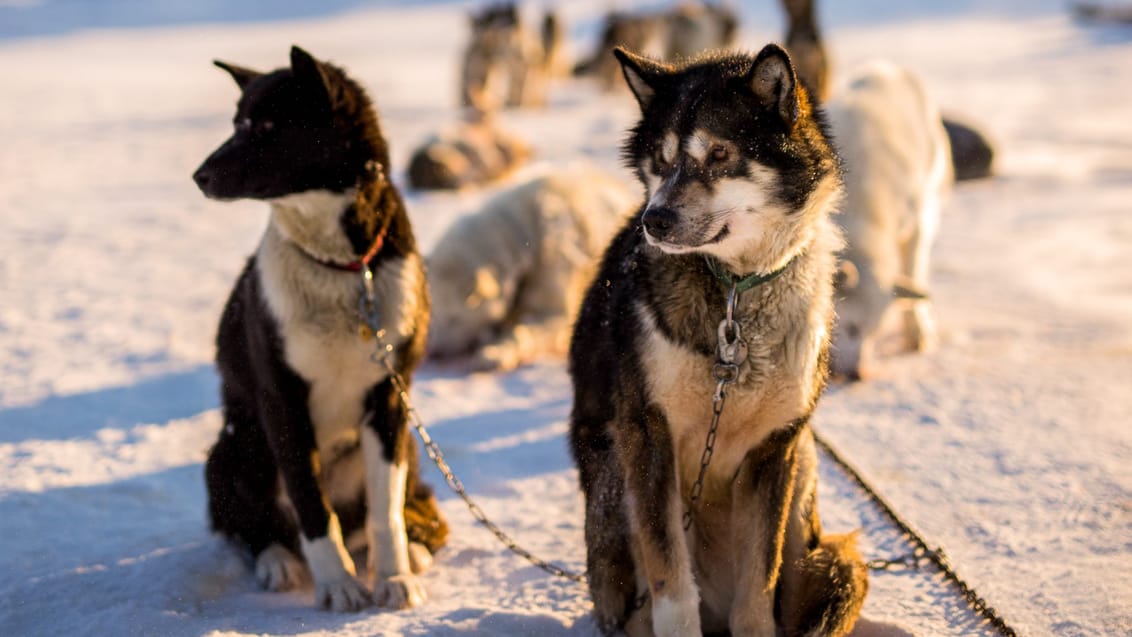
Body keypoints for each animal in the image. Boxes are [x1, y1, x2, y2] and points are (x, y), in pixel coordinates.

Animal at [194, 44, 446, 610]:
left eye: (267, 127)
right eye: (236, 124)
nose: (199, 175)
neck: (344, 266)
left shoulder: (390, 400)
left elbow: (385, 512)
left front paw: (394, 577)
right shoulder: (282, 402)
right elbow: (312, 505)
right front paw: (336, 584)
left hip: (403, 447)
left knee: (382, 514)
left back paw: (413, 551)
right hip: (238, 448)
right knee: (259, 528)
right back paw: (278, 562)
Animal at [570, 46, 869, 637]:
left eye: (719, 154)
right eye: (661, 161)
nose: (655, 220)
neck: (735, 290)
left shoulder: (774, 449)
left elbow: (758, 590)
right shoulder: (649, 436)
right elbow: (671, 581)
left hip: (806, 485)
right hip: (614, 479)